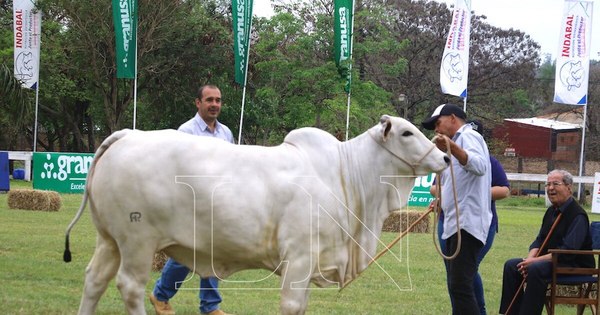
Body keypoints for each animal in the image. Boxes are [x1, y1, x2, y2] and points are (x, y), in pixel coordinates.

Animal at [65, 115, 448, 314]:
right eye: (406, 132)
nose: (444, 157)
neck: (346, 175)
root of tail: (127, 135)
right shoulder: (299, 257)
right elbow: (292, 305)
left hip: (109, 240)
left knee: (94, 280)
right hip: (137, 241)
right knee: (129, 286)